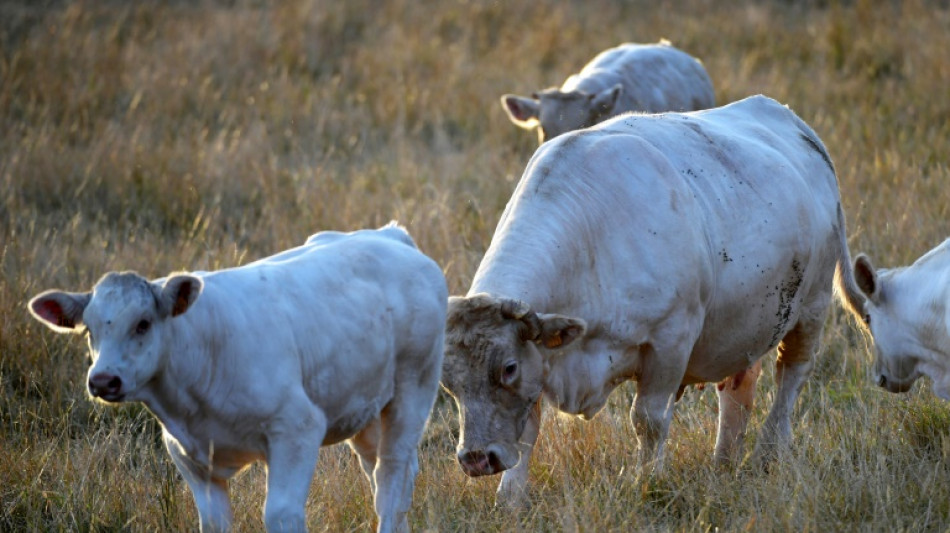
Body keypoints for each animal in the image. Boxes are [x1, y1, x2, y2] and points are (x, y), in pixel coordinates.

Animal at [27, 220, 450, 532]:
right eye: (90, 330)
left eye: (143, 323)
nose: (103, 380)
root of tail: (390, 235)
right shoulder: (189, 456)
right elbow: (214, 523)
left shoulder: (297, 428)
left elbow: (280, 514)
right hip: (365, 408)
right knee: (390, 473)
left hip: (414, 388)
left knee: (390, 484)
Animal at [442, 95, 860, 508]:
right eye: (447, 381)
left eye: (508, 368)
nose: (476, 459)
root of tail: (792, 120)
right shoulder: (542, 360)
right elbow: (528, 430)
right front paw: (510, 498)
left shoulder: (670, 341)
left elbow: (648, 420)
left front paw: (645, 481)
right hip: (744, 322)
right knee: (739, 386)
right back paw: (724, 460)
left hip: (812, 306)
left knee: (791, 376)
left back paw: (768, 451)